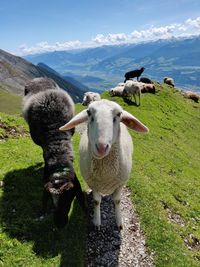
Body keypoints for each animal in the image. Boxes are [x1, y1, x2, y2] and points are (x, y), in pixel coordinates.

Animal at [59, 99, 148, 229]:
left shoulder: (120, 184)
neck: (105, 175)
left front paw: (119, 222)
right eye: (89, 113)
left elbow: (117, 201)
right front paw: (97, 221)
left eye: (119, 114)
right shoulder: (94, 183)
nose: (101, 147)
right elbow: (97, 201)